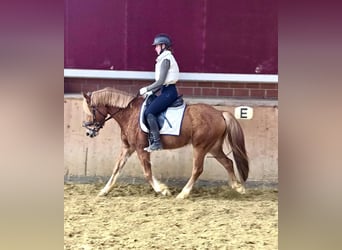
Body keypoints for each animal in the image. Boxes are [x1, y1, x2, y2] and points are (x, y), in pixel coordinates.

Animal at [83, 87, 248, 198]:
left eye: (90, 110)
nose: (89, 132)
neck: (129, 114)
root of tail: (220, 113)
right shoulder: (128, 148)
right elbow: (116, 168)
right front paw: (104, 190)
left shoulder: (141, 149)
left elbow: (147, 172)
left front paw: (162, 190)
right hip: (213, 146)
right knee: (228, 162)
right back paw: (238, 187)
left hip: (200, 147)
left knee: (198, 169)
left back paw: (183, 193)